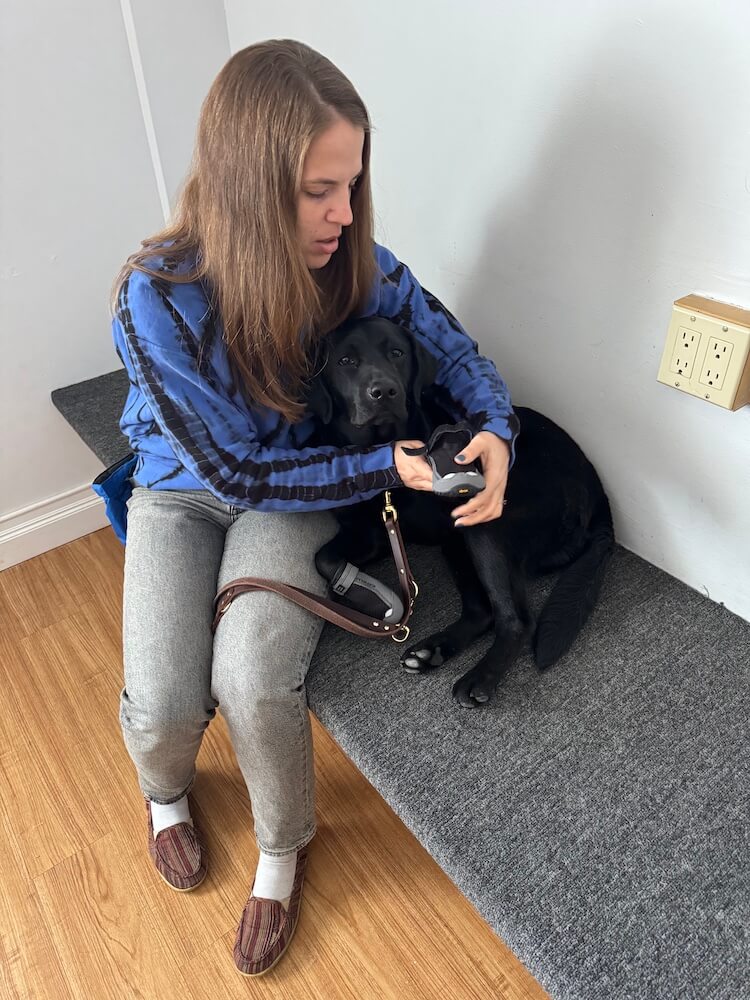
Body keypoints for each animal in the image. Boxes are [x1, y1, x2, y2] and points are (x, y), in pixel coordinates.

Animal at [306, 316, 616, 708]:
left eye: (397, 353)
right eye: (346, 362)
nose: (384, 391)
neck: (379, 448)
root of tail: (598, 489)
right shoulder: (369, 533)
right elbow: (324, 557)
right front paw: (368, 598)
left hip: (484, 523)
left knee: (516, 620)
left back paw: (479, 679)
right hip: (458, 541)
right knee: (483, 611)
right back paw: (432, 651)